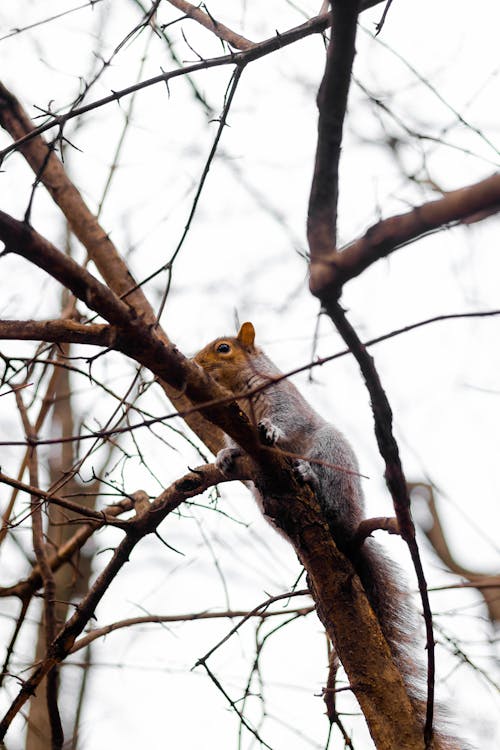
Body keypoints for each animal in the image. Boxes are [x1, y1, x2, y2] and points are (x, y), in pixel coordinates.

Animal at [193, 324, 462, 750]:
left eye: (223, 348)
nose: (195, 363)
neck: (240, 389)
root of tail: (349, 530)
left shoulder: (283, 399)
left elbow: (285, 421)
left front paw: (270, 431)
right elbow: (234, 446)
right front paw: (224, 457)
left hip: (331, 452)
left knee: (326, 487)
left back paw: (310, 478)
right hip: (263, 497)